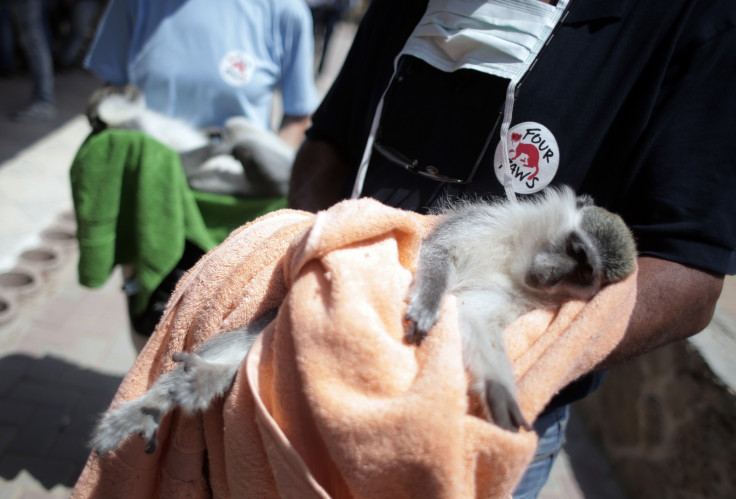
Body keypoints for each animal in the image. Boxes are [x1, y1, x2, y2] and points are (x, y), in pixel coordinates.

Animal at [90, 187, 632, 454]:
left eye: (585, 274)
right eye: (576, 250)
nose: (555, 275)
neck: (517, 258)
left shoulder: (511, 298)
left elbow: (476, 326)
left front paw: (500, 389)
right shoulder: (486, 221)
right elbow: (436, 255)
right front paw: (428, 302)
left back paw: (194, 385)